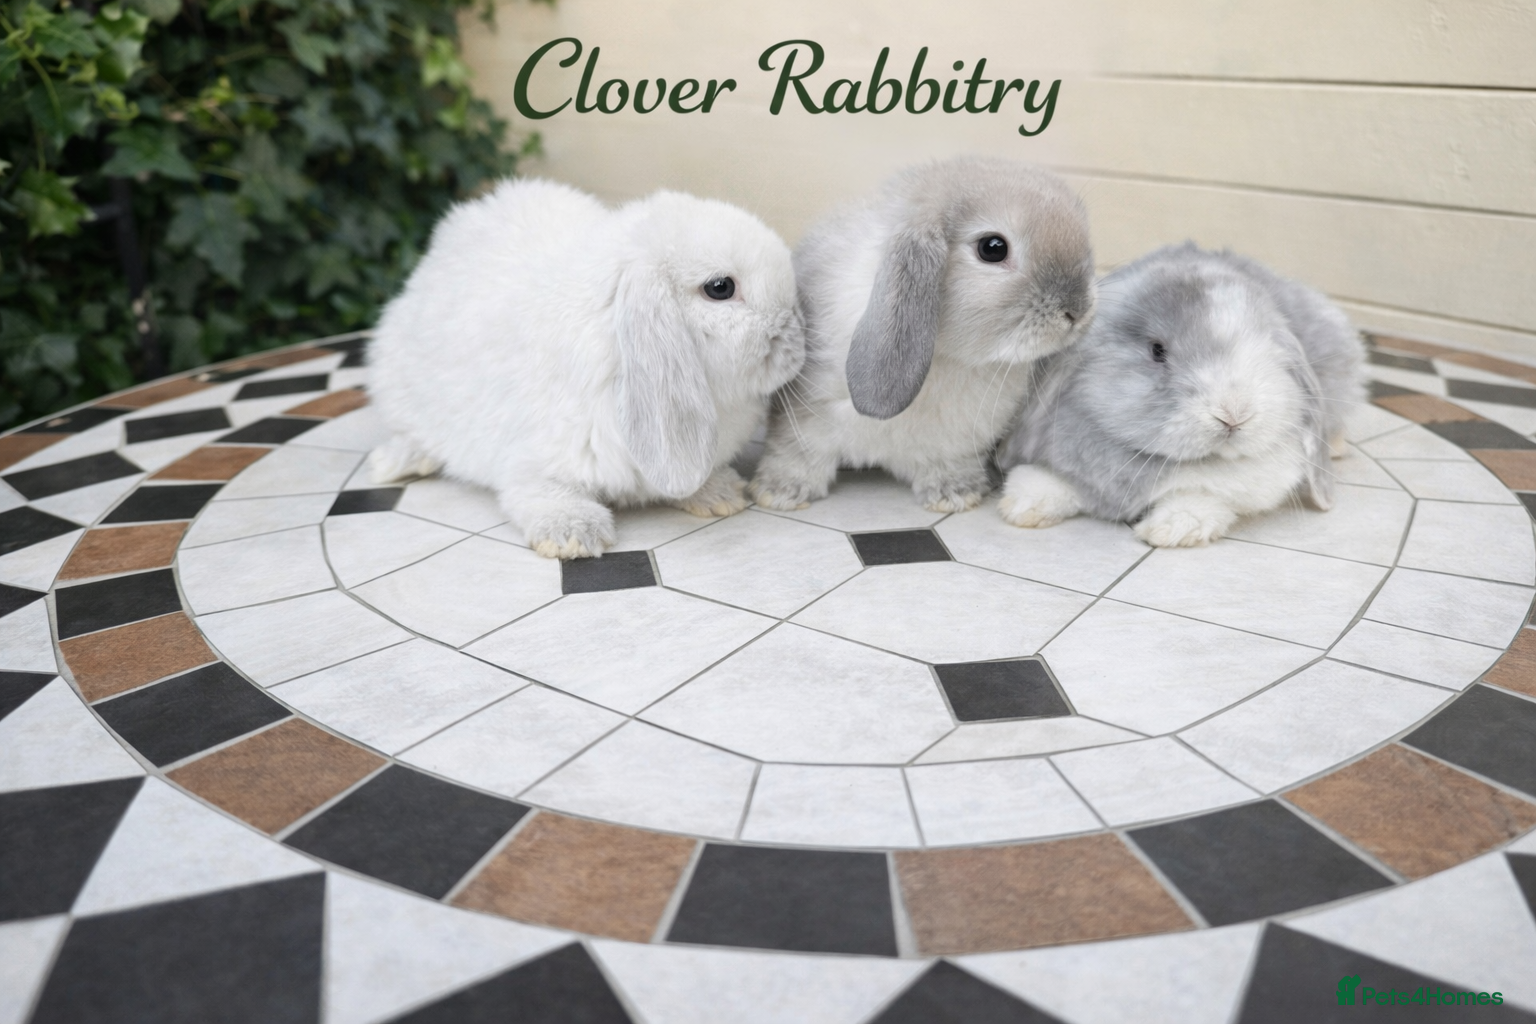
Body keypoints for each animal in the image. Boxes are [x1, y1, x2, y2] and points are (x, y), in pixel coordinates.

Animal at [366, 178, 806, 559]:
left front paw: (719, 495)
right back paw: (396, 463)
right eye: (720, 288)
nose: (799, 337)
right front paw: (573, 534)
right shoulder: (532, 460)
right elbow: (536, 491)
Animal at [748, 156, 1095, 514]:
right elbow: (797, 452)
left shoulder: (956, 442)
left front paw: (955, 494)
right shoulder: (805, 413)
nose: (1077, 311)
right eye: (993, 248)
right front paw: (780, 492)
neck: (946, 356)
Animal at [995, 242, 1366, 548]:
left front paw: (1170, 530)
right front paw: (1022, 509)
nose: (1234, 414)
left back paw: (1336, 447)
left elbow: (1202, 497)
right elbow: (1046, 479)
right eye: (1157, 350)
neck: (1148, 459)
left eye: (1268, 349)